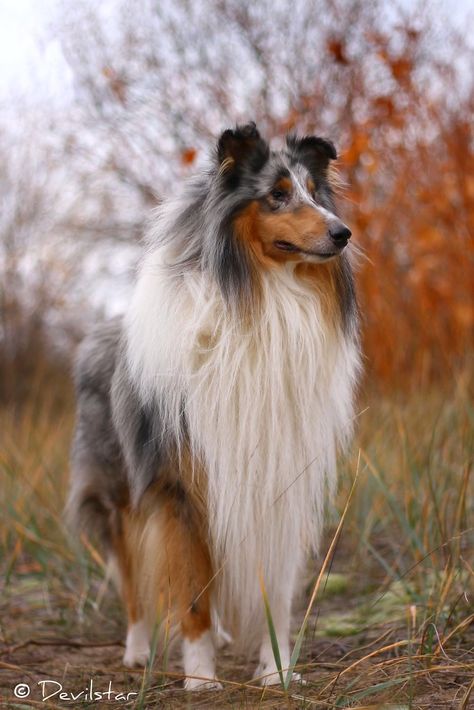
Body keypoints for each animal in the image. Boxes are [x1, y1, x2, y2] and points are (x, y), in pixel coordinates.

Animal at [67, 122, 360, 688]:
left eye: (316, 192)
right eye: (277, 195)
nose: (343, 234)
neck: (265, 298)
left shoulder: (273, 480)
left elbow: (272, 592)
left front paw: (277, 672)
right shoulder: (178, 488)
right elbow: (191, 592)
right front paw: (201, 677)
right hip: (119, 494)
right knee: (133, 584)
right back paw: (138, 650)